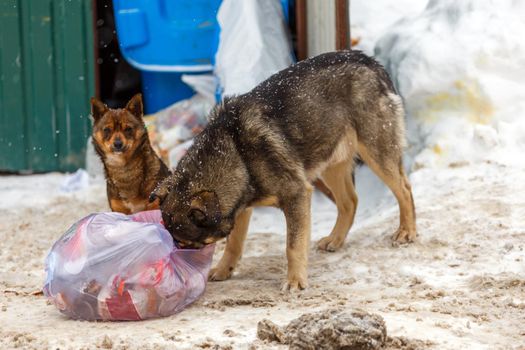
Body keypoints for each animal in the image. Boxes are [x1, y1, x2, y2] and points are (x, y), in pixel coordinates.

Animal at [149, 49, 416, 290]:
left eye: (184, 243)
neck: (236, 153)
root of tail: (369, 61)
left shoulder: (297, 195)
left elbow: (293, 246)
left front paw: (295, 280)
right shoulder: (242, 209)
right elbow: (234, 245)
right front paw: (224, 270)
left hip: (376, 152)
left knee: (404, 188)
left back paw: (407, 231)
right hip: (329, 159)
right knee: (349, 201)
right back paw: (336, 239)